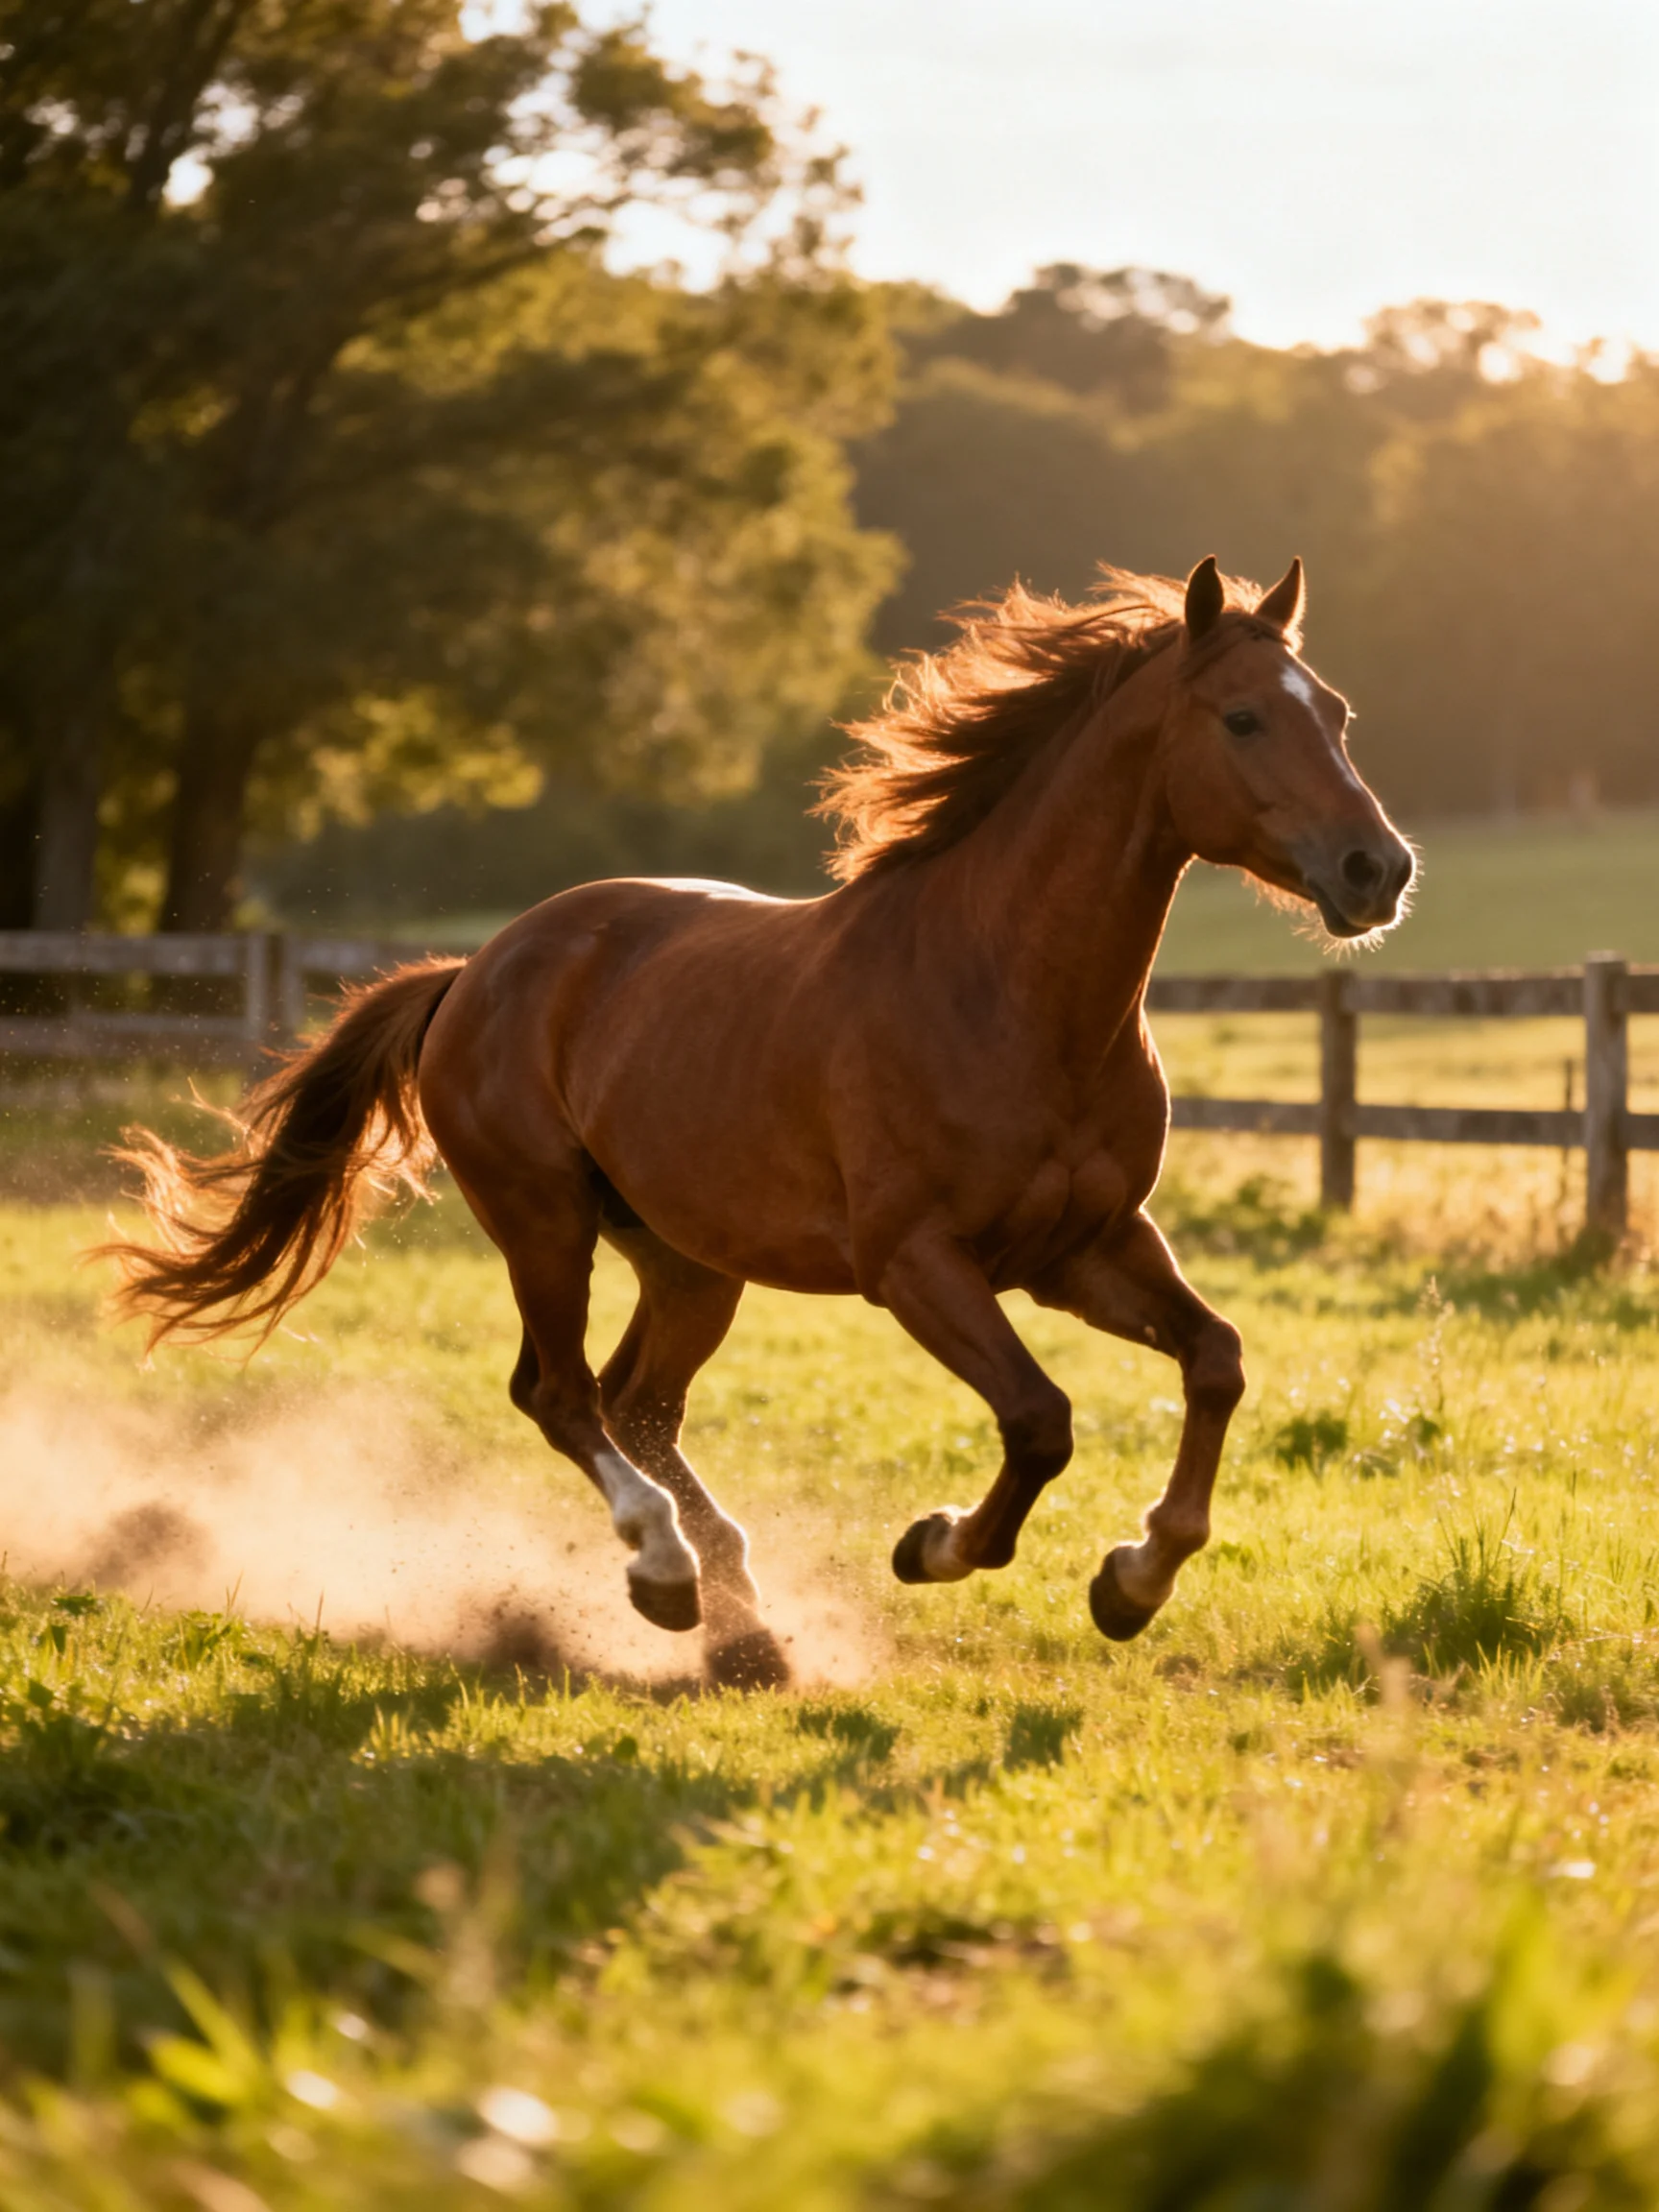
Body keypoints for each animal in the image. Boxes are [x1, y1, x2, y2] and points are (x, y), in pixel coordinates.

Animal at [104, 556, 1413, 1689]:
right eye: (1242, 719)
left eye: (1342, 715)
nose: (1378, 870)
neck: (1009, 993)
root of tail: (474, 970)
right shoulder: (916, 1262)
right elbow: (1041, 1421)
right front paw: (935, 1545)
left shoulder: (1085, 1248)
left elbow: (1215, 1361)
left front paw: (1131, 1583)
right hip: (542, 1221)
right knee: (562, 1396)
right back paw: (669, 1578)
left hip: (689, 1261)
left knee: (636, 1401)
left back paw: (741, 1623)